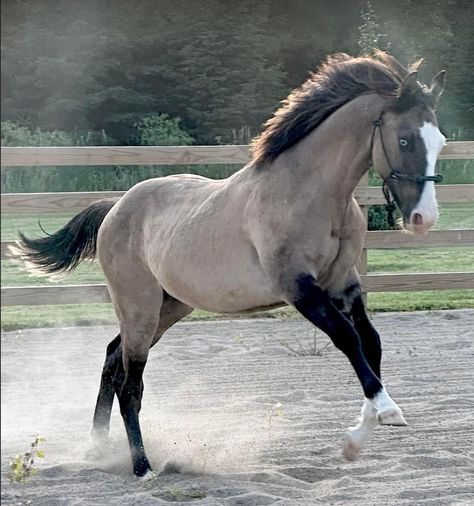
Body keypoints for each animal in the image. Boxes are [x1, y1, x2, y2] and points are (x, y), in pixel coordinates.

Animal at [12, 52, 446, 478]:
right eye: (404, 139)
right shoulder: (298, 287)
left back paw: (97, 448)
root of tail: (116, 207)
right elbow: (347, 338)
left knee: (111, 359)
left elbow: (370, 342)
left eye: (440, 140)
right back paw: (141, 467)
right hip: (139, 307)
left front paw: (358, 437)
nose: (423, 219)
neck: (310, 196)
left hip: (169, 307)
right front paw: (386, 413)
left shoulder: (343, 282)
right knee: (129, 381)